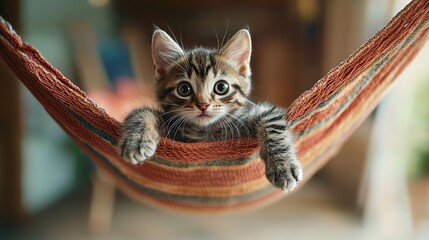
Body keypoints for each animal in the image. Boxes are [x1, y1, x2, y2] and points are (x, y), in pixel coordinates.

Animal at [118, 28, 302, 191]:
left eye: (221, 87)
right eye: (184, 89)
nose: (203, 105)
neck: (206, 132)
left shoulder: (253, 115)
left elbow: (272, 120)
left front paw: (283, 167)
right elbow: (142, 112)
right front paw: (136, 141)